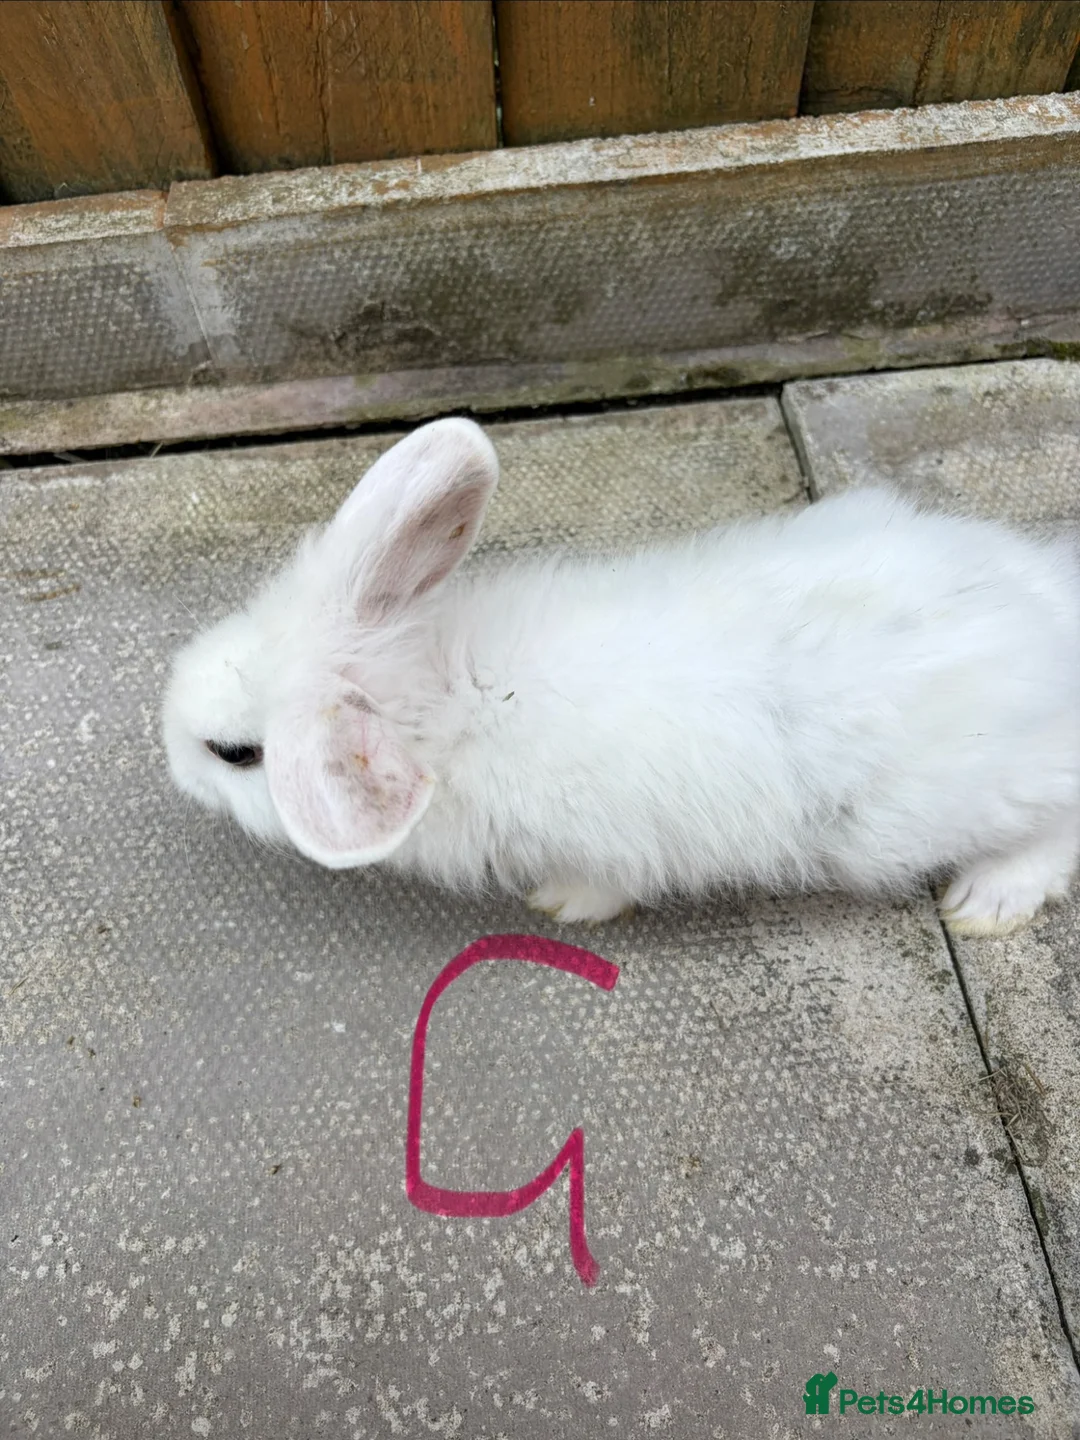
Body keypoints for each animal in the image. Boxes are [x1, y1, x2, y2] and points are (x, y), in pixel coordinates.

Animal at [162, 416, 1080, 935]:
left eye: (234, 754)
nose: (166, 747)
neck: (447, 702)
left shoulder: (612, 837)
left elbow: (609, 882)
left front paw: (560, 905)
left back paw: (986, 904)